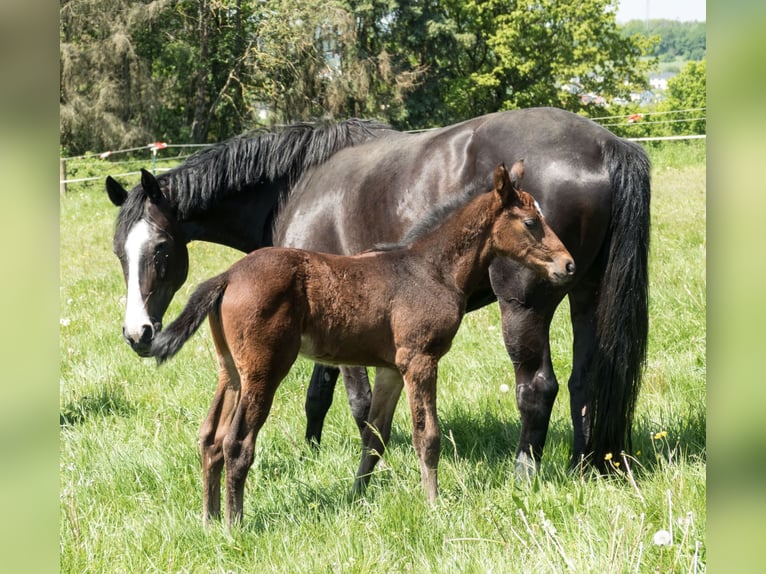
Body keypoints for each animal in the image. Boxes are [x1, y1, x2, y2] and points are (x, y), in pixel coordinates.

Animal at [105, 109, 652, 476]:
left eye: (160, 250)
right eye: (118, 252)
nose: (137, 333)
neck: (299, 181)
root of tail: (606, 145)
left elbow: (359, 402)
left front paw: (372, 464)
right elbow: (318, 394)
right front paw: (312, 451)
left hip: (524, 306)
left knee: (538, 387)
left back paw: (525, 473)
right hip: (585, 296)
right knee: (585, 384)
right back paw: (585, 466)